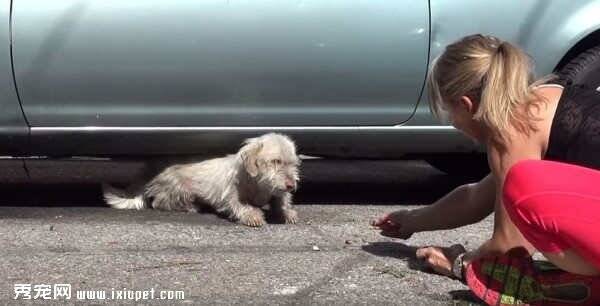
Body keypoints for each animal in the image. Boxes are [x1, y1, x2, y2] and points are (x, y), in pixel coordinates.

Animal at [103, 134, 302, 227]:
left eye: (293, 163)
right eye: (276, 161)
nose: (291, 185)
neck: (258, 184)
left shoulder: (277, 192)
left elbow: (281, 200)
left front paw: (287, 212)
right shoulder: (230, 196)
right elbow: (239, 205)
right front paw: (253, 215)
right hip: (179, 188)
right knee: (159, 203)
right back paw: (190, 207)